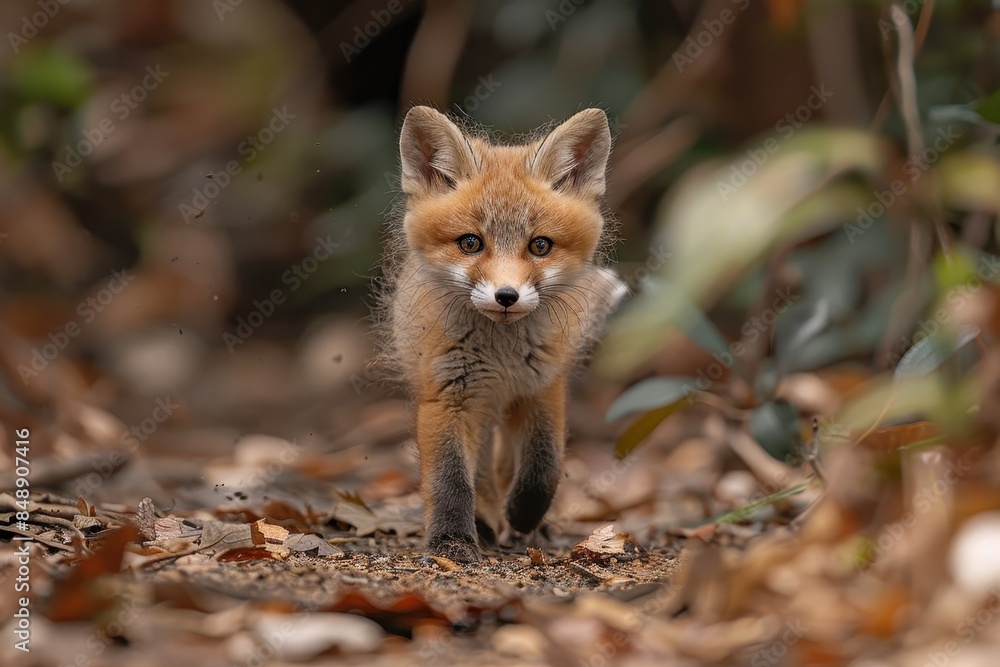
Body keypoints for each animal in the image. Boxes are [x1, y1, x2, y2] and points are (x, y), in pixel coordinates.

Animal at [375, 106, 626, 561]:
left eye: (540, 246)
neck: (501, 356)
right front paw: (452, 540)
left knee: (506, 466)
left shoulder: (542, 389)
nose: (506, 296)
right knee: (481, 474)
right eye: (470, 243)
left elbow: (544, 468)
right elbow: (449, 479)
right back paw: (485, 523)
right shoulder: (447, 395)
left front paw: (524, 515)